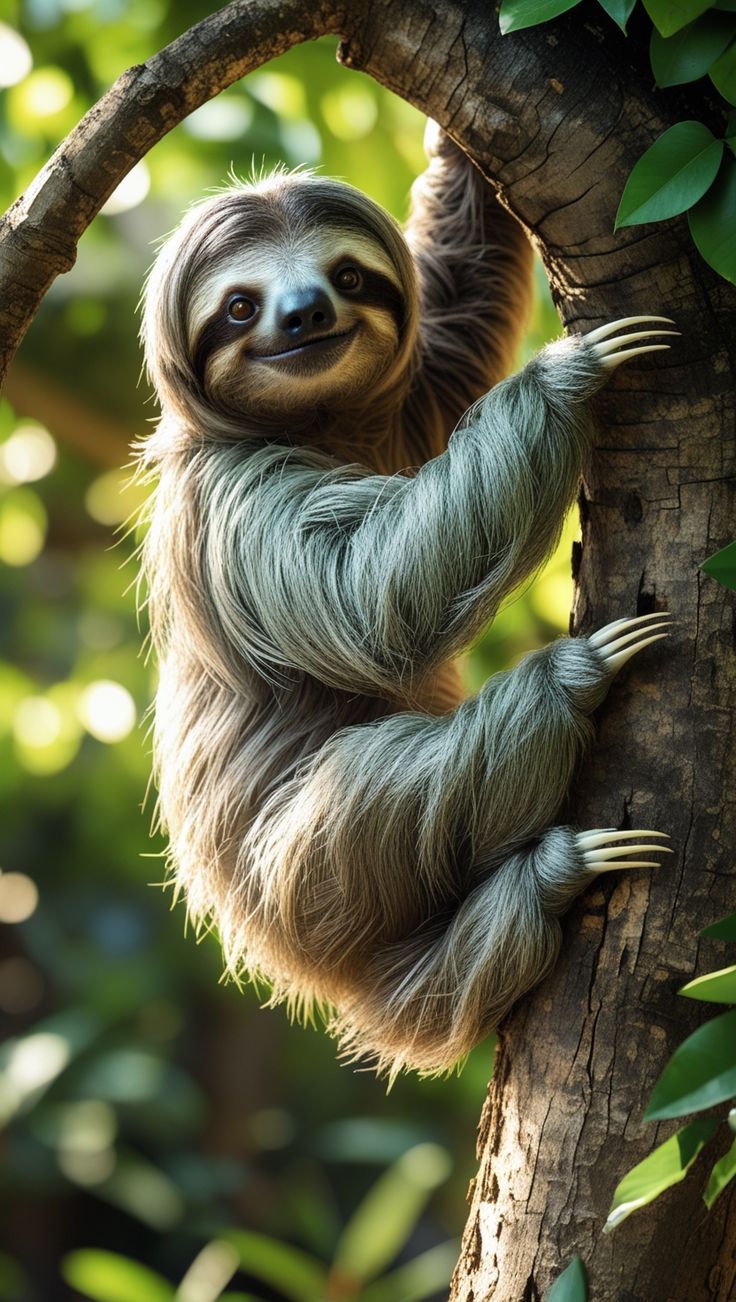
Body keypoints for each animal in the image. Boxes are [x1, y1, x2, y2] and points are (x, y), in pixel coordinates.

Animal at [137, 126, 674, 1078]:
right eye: (239, 307)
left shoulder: (416, 396)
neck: (320, 429)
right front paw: (568, 375)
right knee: (382, 778)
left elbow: (462, 290)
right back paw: (569, 707)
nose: (304, 313)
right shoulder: (234, 505)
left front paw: (457, 148)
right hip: (301, 880)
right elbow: (369, 593)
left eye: (348, 277)